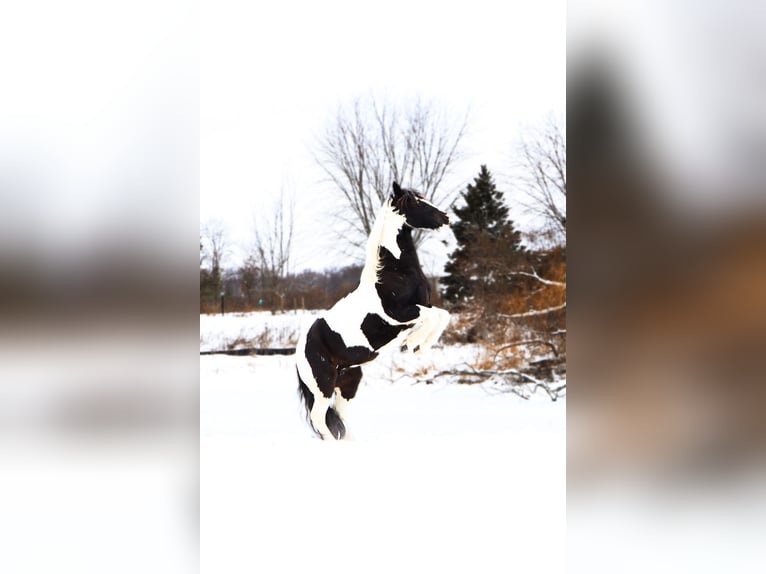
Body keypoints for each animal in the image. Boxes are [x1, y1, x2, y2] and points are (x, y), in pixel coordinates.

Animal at [296, 182, 451, 440]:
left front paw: (416, 345)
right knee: (320, 420)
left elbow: (443, 315)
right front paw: (413, 344)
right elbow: (433, 316)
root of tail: (299, 352)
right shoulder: (400, 313)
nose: (445, 218)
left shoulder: (423, 306)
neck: (394, 273)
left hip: (348, 385)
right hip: (322, 388)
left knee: (338, 420)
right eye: (415, 203)